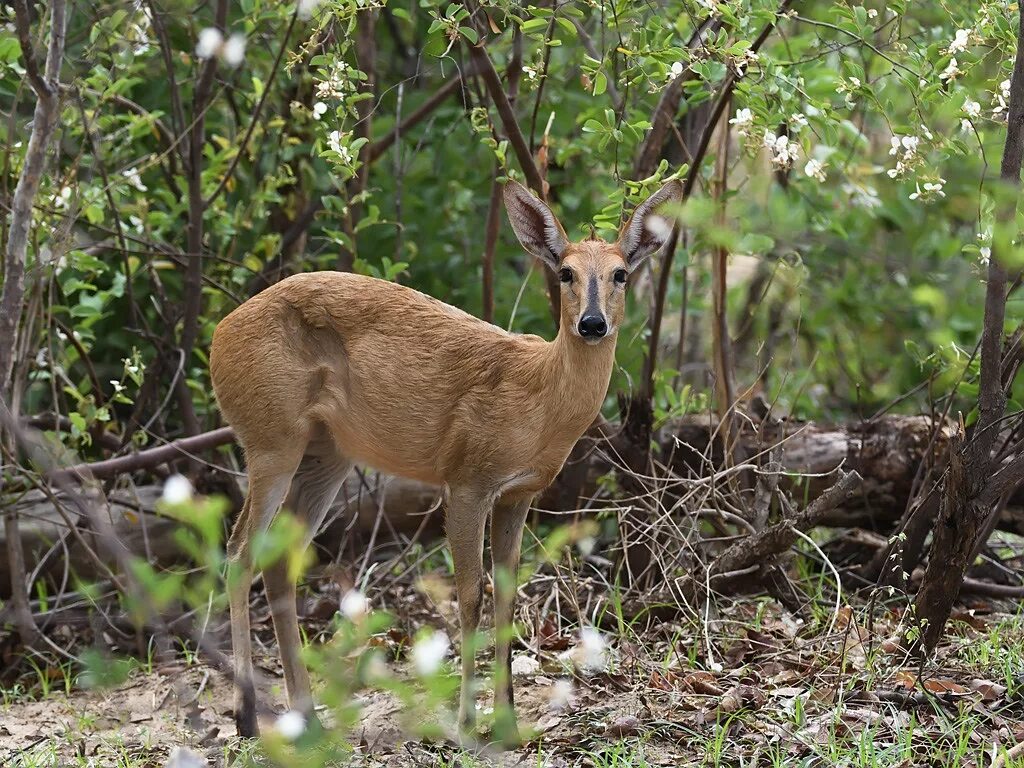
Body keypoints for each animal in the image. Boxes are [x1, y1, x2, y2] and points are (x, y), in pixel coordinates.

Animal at [209, 179, 679, 741]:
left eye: (620, 273)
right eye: (565, 272)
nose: (592, 323)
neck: (539, 399)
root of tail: (217, 335)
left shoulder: (519, 493)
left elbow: (507, 595)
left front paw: (507, 722)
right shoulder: (467, 478)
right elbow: (470, 594)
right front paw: (466, 722)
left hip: (326, 454)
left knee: (280, 560)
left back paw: (307, 716)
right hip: (270, 438)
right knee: (239, 553)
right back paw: (246, 718)